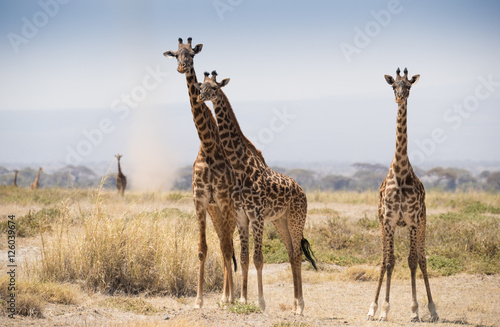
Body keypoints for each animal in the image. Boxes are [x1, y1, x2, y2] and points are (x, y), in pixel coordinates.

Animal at [162, 37, 238, 308]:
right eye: (176, 55)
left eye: (192, 54)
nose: (182, 68)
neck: (207, 145)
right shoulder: (201, 200)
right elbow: (202, 249)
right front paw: (198, 299)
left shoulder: (223, 200)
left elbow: (226, 247)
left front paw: (229, 298)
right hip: (215, 211)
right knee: (224, 243)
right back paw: (226, 295)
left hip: (231, 210)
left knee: (229, 245)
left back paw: (230, 296)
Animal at [196, 71, 316, 316]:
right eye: (201, 85)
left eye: (214, 87)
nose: (200, 96)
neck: (240, 167)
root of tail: (302, 191)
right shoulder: (242, 216)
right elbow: (243, 258)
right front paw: (242, 300)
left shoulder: (257, 216)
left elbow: (258, 258)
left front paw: (260, 302)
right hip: (280, 221)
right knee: (292, 253)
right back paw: (294, 305)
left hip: (296, 218)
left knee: (298, 254)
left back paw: (300, 306)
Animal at [366, 68, 440, 322]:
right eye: (393, 86)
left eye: (408, 86)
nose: (400, 97)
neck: (399, 173)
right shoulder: (388, 221)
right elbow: (389, 262)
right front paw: (381, 310)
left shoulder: (413, 221)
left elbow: (412, 261)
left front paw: (415, 311)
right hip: (384, 224)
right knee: (384, 260)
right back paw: (373, 308)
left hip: (423, 222)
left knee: (423, 259)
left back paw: (433, 310)